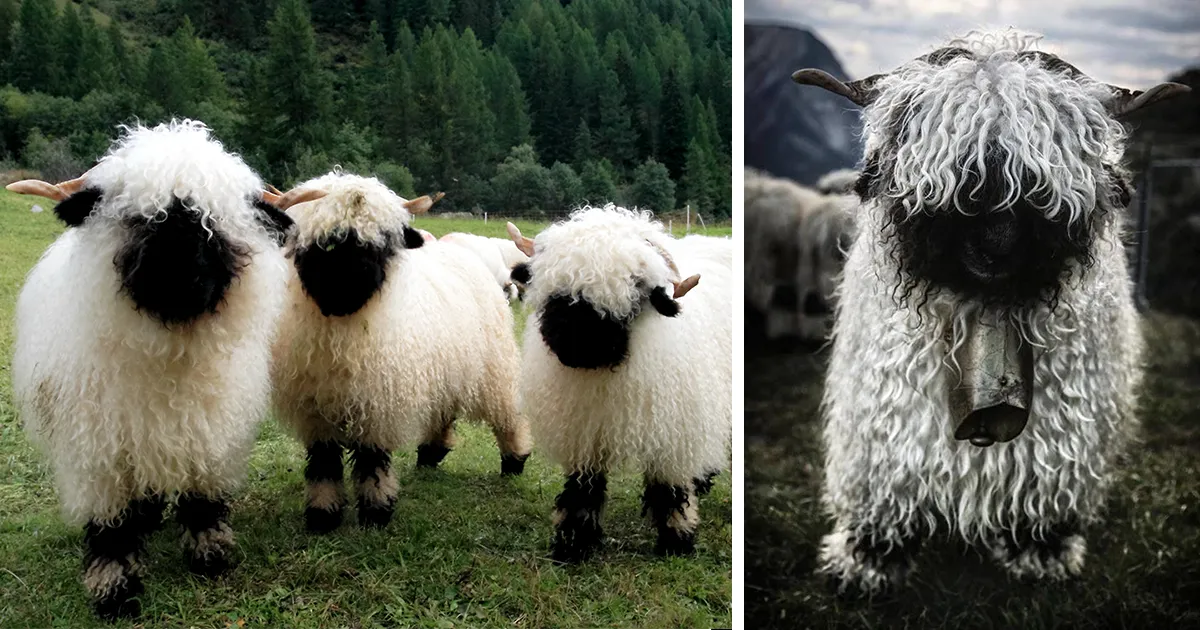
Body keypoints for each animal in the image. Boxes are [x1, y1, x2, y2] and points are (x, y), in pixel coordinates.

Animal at [4, 119, 309, 619]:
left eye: (214, 222)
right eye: (139, 217)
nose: (180, 277)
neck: (168, 352)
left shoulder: (208, 435)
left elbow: (203, 499)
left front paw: (210, 557)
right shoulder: (101, 452)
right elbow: (110, 525)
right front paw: (114, 591)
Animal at [270, 172, 532, 533]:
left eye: (382, 243)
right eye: (329, 241)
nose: (355, 280)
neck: (342, 327)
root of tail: (458, 249)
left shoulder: (378, 403)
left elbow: (372, 460)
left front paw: (376, 512)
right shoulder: (315, 408)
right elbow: (324, 463)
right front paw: (323, 515)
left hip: (494, 366)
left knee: (507, 414)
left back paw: (514, 460)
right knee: (443, 411)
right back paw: (430, 455)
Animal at [506, 205, 731, 562]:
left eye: (636, 288)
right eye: (557, 285)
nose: (577, 345)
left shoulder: (674, 432)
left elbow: (670, 488)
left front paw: (677, 541)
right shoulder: (584, 431)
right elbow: (583, 488)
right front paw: (573, 543)